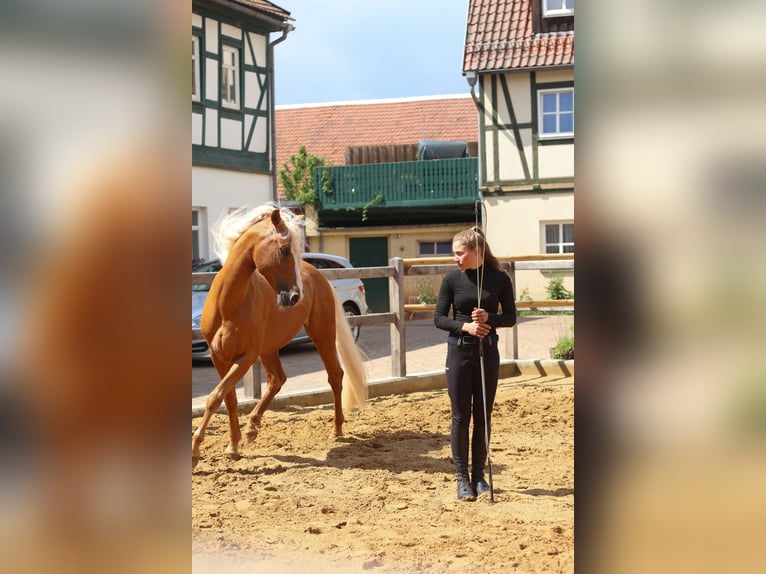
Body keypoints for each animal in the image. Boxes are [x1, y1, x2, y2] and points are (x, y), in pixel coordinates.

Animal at [191, 204, 368, 468]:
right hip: (269, 348)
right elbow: (228, 399)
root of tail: (319, 275)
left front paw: (195, 450)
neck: (228, 305)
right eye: (284, 250)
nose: (295, 296)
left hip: (321, 335)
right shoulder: (218, 357)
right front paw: (233, 446)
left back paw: (336, 429)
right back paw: (252, 428)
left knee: (335, 376)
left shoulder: (245, 357)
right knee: (277, 379)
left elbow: (215, 397)